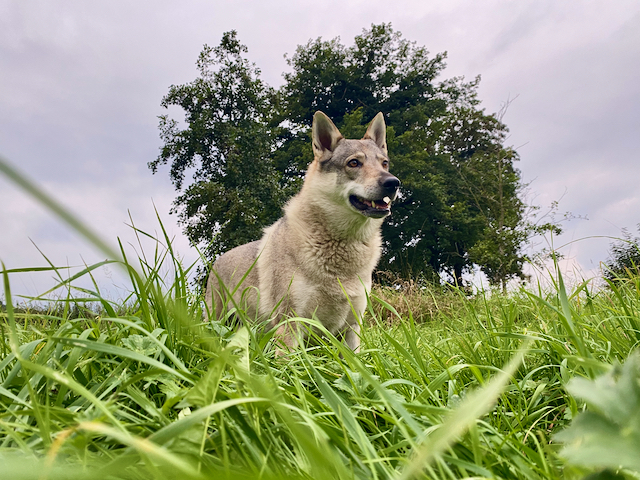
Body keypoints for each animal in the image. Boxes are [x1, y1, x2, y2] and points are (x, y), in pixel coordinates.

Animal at [205, 111, 398, 352]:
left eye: (384, 164)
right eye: (354, 163)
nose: (393, 182)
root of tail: (219, 260)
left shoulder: (352, 329)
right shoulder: (290, 325)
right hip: (215, 321)